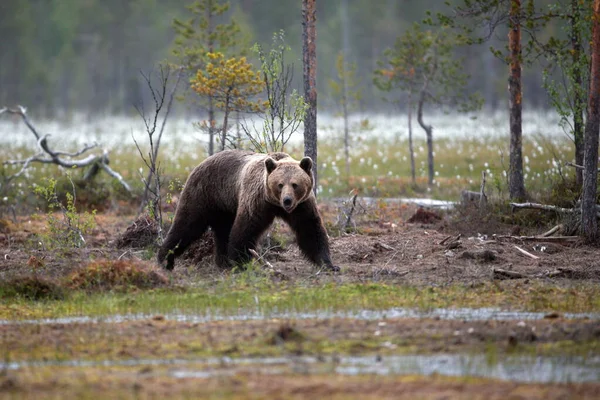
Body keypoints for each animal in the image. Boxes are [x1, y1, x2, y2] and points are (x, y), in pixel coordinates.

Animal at [157, 150, 338, 272]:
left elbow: (310, 229)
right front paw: (241, 262)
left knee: (222, 231)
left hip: (224, 206)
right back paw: (164, 259)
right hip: (204, 194)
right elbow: (245, 229)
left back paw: (222, 261)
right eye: (280, 184)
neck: (275, 204)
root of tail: (202, 161)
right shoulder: (257, 201)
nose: (287, 200)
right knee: (187, 225)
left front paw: (329, 264)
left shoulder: (302, 206)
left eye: (295, 184)